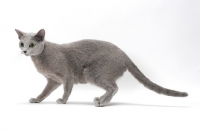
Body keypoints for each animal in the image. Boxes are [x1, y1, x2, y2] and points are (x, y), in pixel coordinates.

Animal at [15, 29, 188, 107]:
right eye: (21, 43)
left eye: (32, 45)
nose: (24, 51)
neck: (40, 59)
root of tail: (124, 54)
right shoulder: (53, 80)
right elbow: (45, 91)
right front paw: (37, 99)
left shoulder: (67, 77)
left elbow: (66, 90)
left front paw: (63, 101)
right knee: (114, 86)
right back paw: (100, 99)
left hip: (91, 72)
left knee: (114, 87)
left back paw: (102, 103)